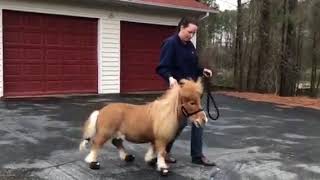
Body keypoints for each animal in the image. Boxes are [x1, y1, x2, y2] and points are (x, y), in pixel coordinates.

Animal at [79, 78, 208, 175]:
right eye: (192, 103)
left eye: (198, 100)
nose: (204, 120)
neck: (166, 113)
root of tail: (100, 111)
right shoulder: (161, 139)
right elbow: (161, 152)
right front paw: (163, 168)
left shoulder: (155, 138)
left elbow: (154, 149)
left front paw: (151, 160)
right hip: (105, 133)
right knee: (97, 144)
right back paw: (93, 163)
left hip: (117, 133)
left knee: (116, 142)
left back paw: (127, 157)